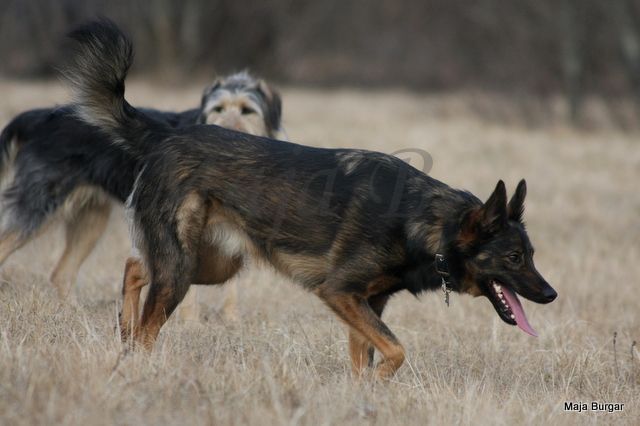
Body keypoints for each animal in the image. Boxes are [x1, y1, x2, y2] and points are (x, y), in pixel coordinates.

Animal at [0, 69, 280, 316]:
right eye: (217, 108)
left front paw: (232, 322)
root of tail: (36, 117)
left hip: (91, 217)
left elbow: (231, 288)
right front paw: (192, 326)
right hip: (40, 202)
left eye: (247, 110)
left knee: (62, 273)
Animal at [63, 21, 556, 378]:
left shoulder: (367, 305)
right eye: (514, 257)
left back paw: (124, 332)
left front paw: (362, 397)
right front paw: (380, 385)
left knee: (134, 267)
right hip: (183, 271)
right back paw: (137, 360)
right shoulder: (340, 293)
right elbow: (396, 351)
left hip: (212, 266)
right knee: (148, 322)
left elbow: (367, 357)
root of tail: (166, 136)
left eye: (531, 254)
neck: (426, 222)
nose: (551, 294)